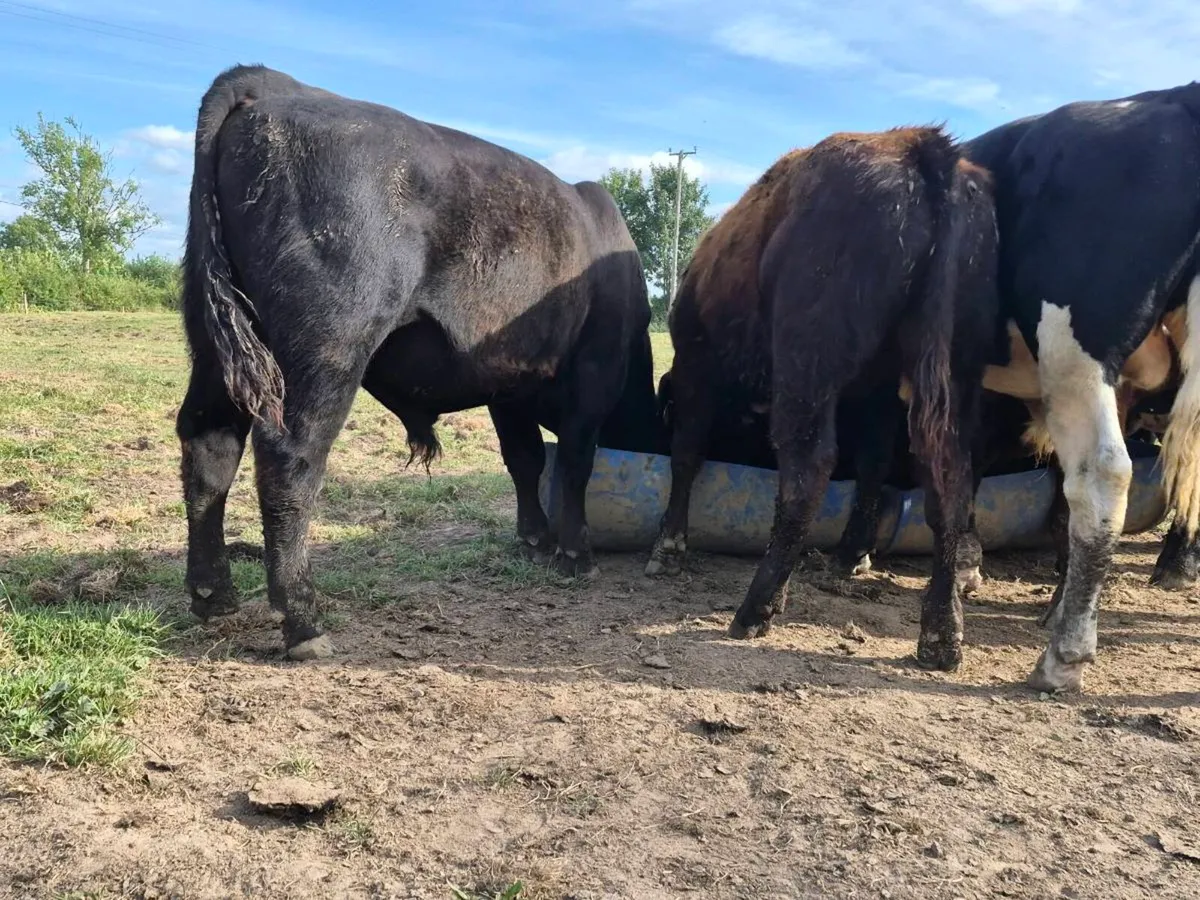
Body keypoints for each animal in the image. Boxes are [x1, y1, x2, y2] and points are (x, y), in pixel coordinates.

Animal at [176, 64, 659, 660]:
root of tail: (272, 84)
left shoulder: (507, 387)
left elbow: (525, 459)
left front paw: (534, 539)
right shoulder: (594, 375)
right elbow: (574, 462)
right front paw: (576, 553)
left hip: (214, 348)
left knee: (209, 445)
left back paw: (212, 594)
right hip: (326, 349)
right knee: (290, 459)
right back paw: (304, 621)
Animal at [645, 126, 1001, 673]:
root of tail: (920, 148)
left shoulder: (695, 371)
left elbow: (686, 455)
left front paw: (667, 546)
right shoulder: (878, 394)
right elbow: (874, 465)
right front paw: (854, 555)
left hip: (805, 368)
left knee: (807, 473)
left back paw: (756, 609)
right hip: (956, 374)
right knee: (950, 486)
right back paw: (941, 634)